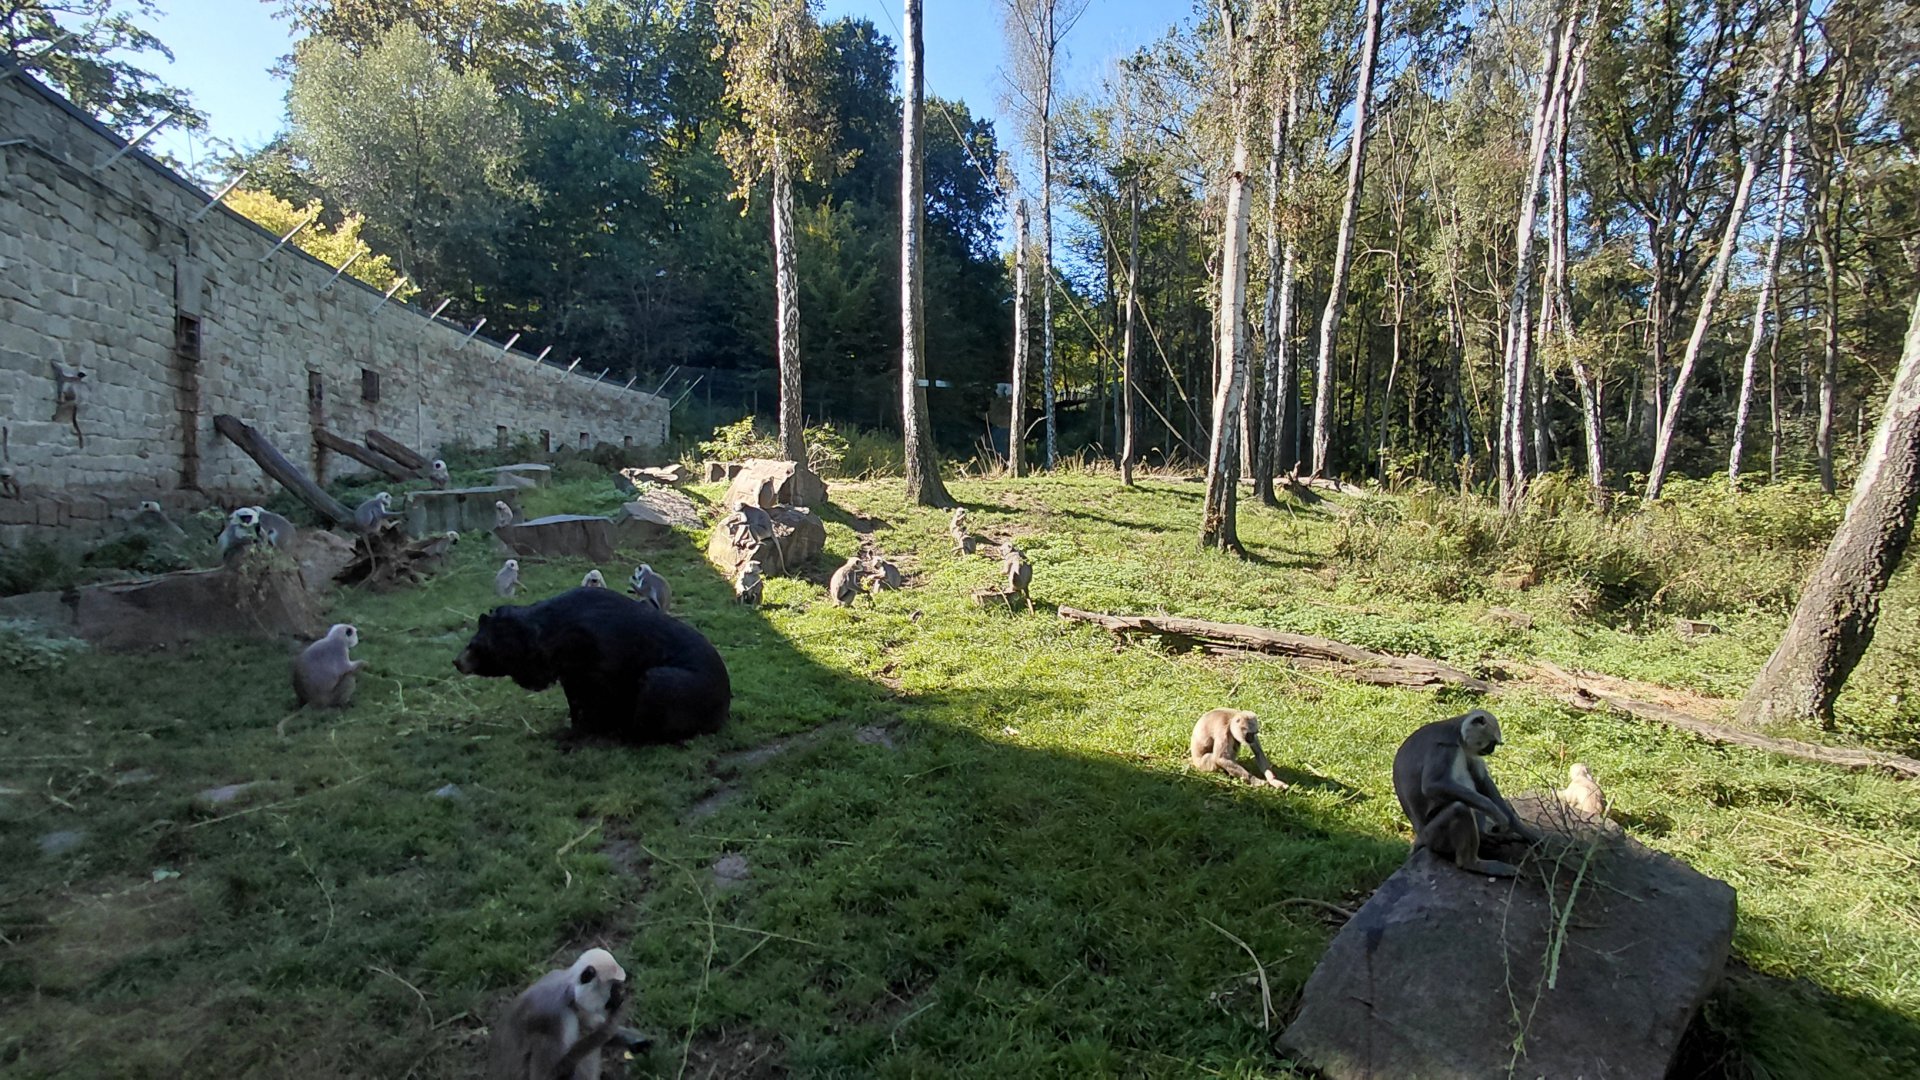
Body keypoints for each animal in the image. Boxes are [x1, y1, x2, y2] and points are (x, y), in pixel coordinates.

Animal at [453, 586, 730, 742]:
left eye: (476, 646)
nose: (457, 662)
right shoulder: (571, 672)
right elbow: (576, 701)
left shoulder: (600, 665)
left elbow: (597, 701)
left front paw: (580, 735)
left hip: (677, 687)